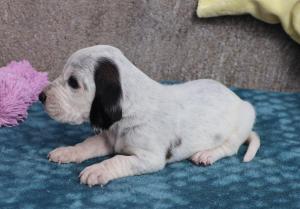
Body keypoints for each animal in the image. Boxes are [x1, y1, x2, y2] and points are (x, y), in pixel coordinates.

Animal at [40, 45, 260, 187]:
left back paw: (206, 155)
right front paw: (67, 151)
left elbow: (117, 160)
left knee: (230, 147)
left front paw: (97, 170)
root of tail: (239, 100)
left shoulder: (148, 158)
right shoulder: (108, 139)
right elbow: (86, 145)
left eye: (73, 83)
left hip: (243, 120)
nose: (41, 96)